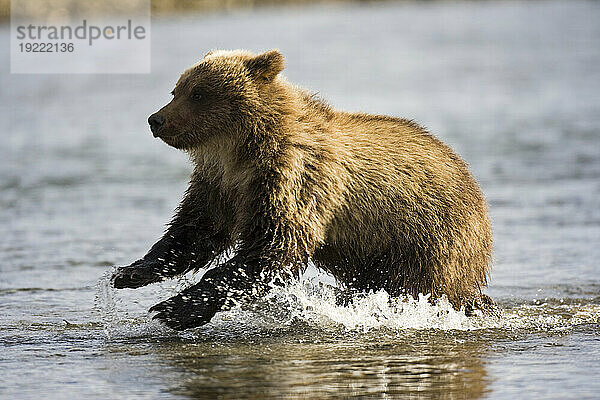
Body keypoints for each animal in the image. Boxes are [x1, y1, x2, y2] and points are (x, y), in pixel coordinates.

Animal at [111, 49, 492, 332]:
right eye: (176, 90)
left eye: (198, 93)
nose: (156, 120)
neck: (239, 152)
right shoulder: (219, 185)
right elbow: (196, 231)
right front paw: (131, 272)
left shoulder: (292, 178)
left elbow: (274, 249)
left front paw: (174, 308)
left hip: (426, 239)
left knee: (417, 285)